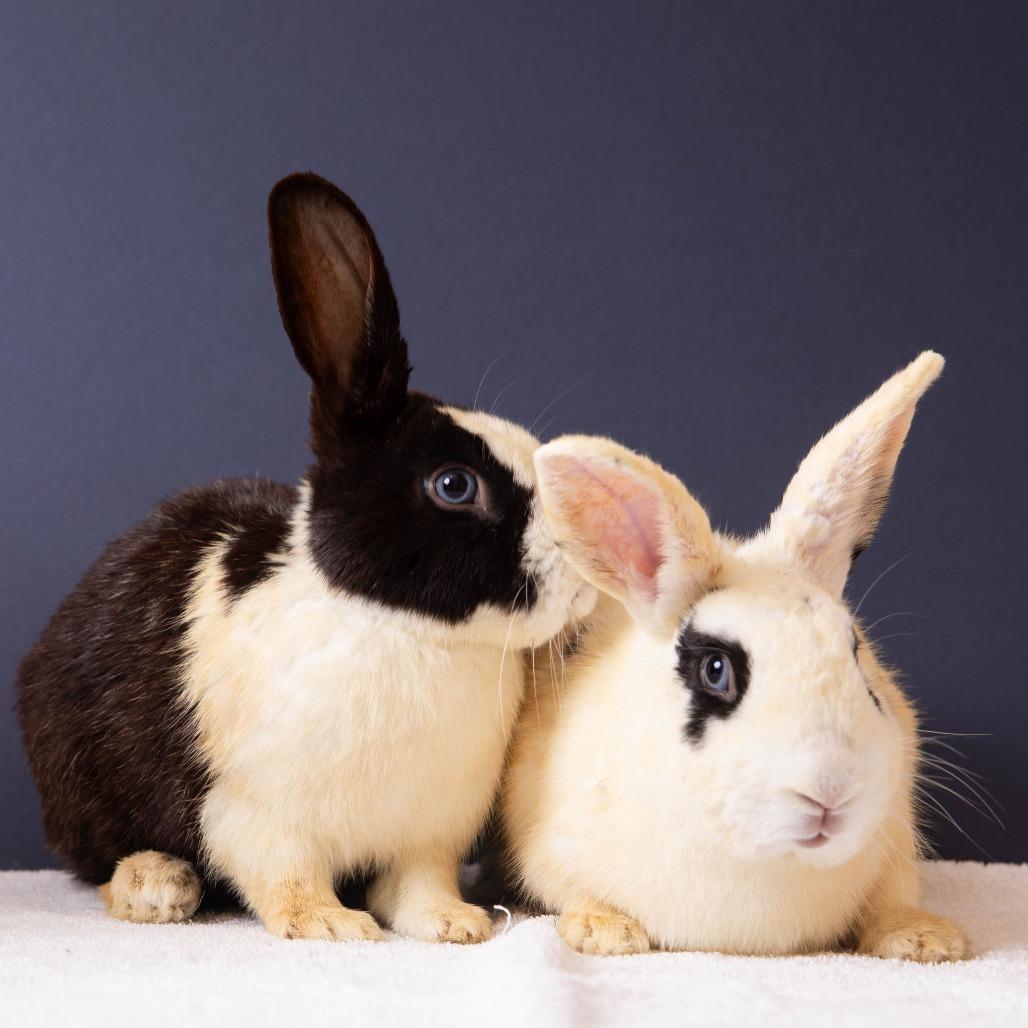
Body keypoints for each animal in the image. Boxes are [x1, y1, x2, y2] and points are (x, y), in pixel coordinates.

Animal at [17, 172, 596, 943]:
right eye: (454, 485)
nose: (585, 576)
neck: (400, 628)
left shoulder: (427, 835)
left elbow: (418, 885)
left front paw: (455, 923)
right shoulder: (255, 819)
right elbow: (285, 879)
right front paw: (332, 926)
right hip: (81, 784)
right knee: (97, 859)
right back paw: (155, 885)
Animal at [502, 351, 970, 961]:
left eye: (855, 653)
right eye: (716, 670)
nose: (832, 790)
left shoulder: (894, 845)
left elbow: (890, 899)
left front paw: (924, 939)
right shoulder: (549, 843)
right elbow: (572, 889)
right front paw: (605, 932)